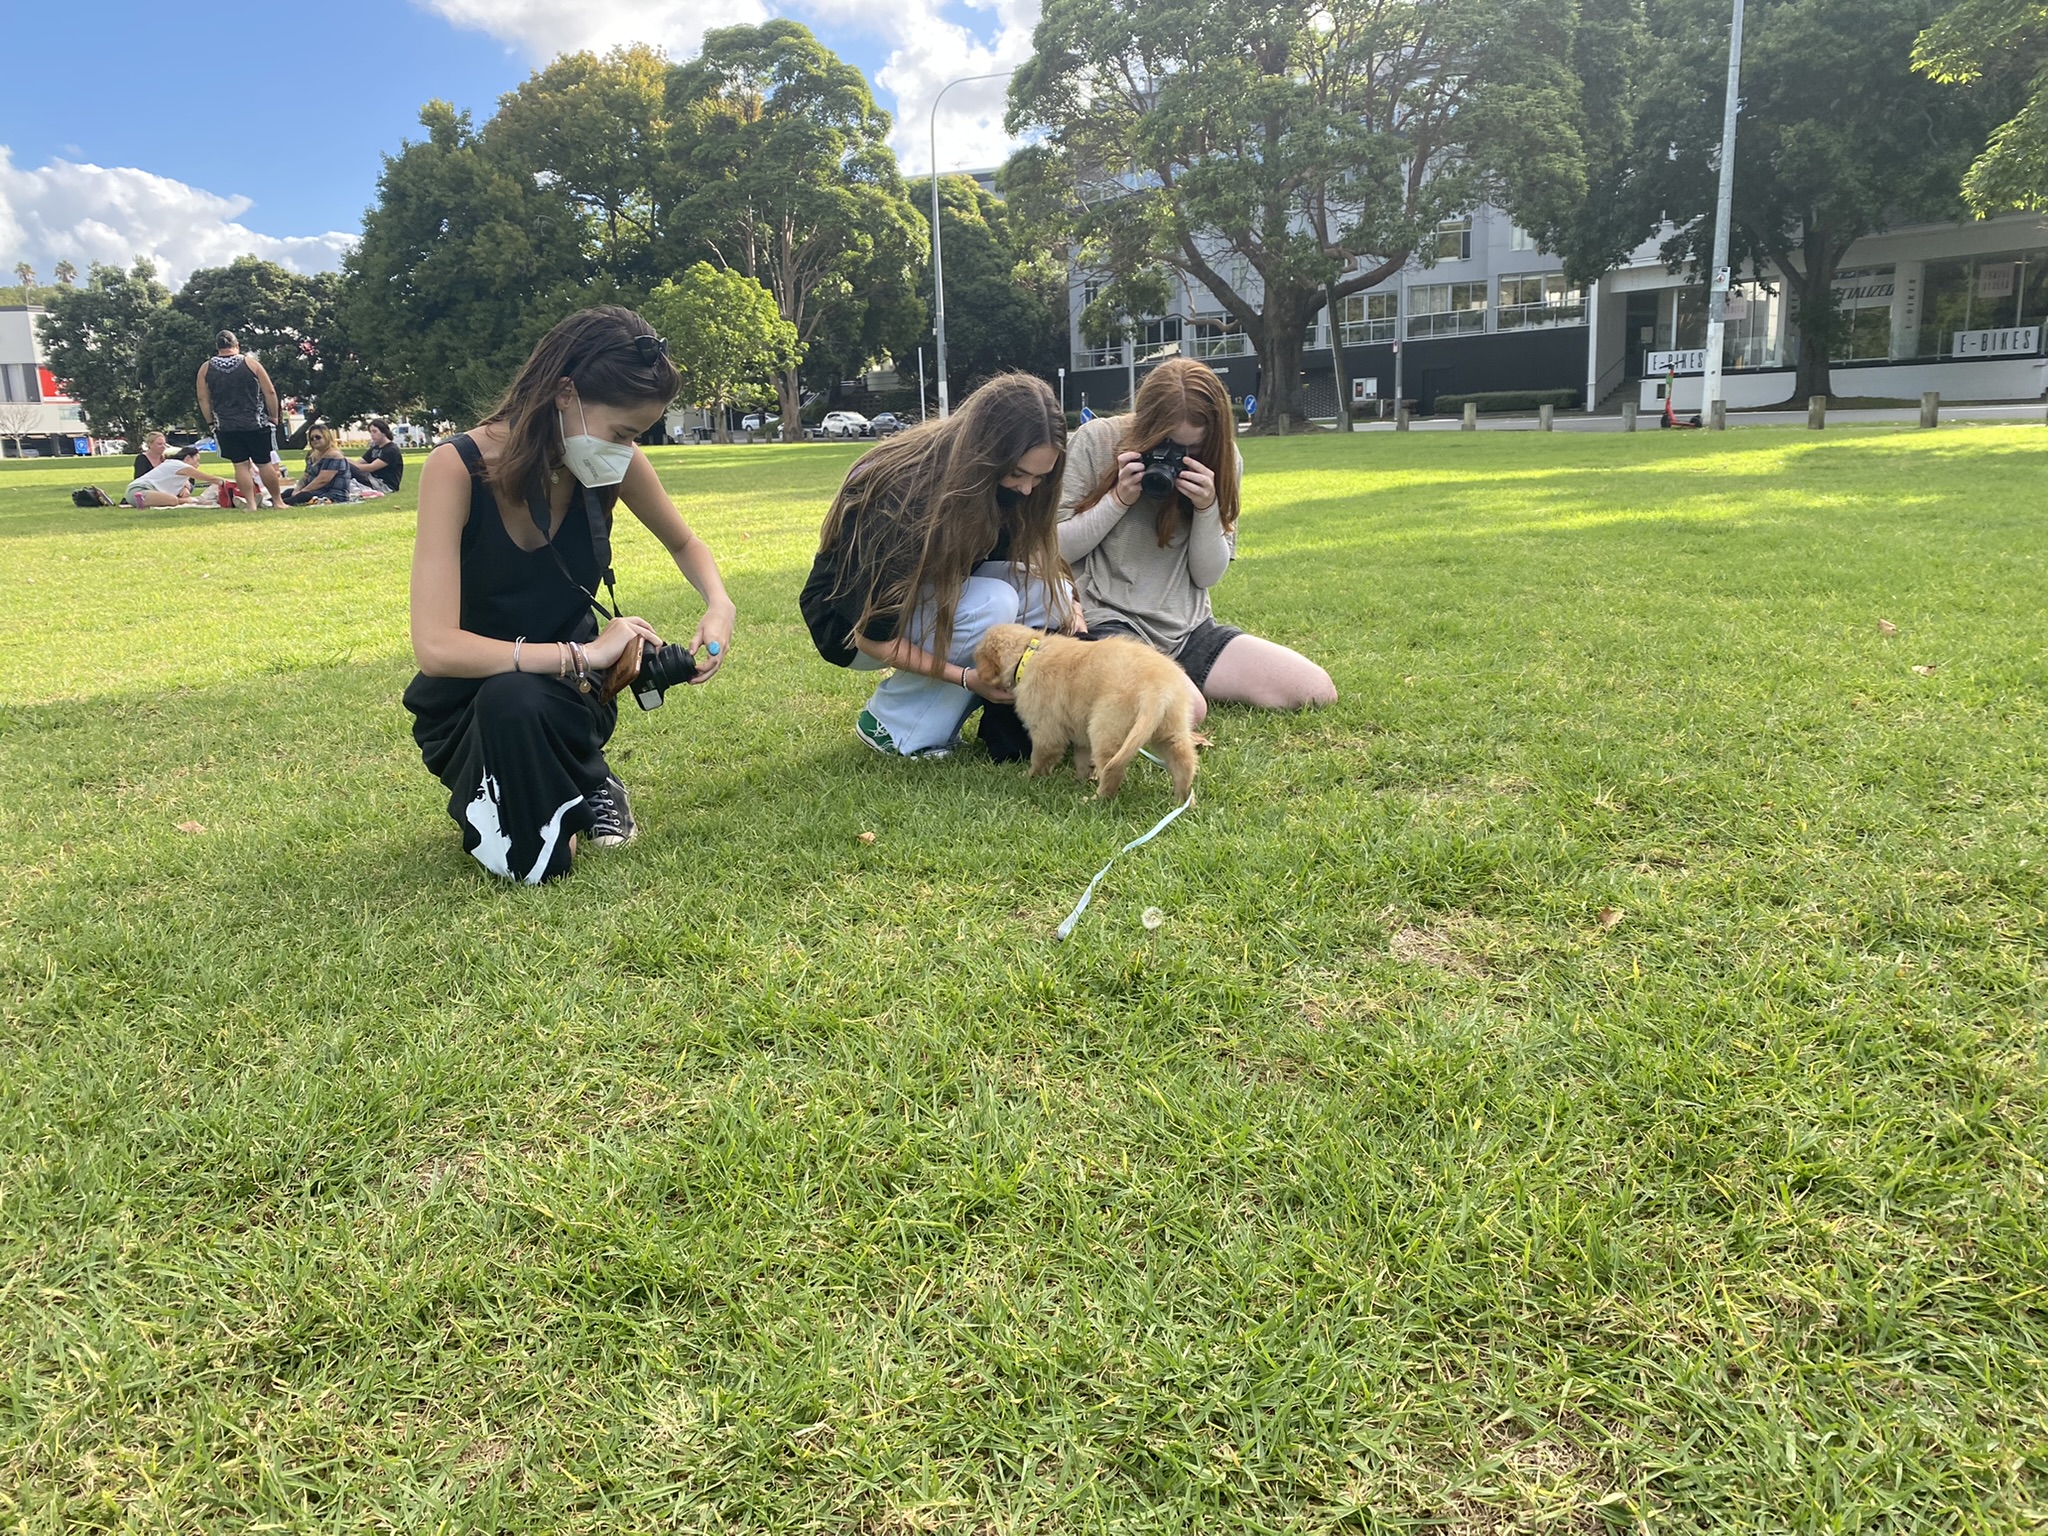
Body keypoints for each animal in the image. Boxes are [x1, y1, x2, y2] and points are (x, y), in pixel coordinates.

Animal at [974, 626, 1196, 806]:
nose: (974, 675)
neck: (1028, 653)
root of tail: (1156, 688)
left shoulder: (1045, 730)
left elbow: (1040, 757)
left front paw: (1029, 776)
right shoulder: (1080, 733)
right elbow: (1082, 759)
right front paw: (1080, 780)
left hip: (1104, 726)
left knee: (1113, 771)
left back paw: (1095, 800)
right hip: (1170, 728)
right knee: (1184, 760)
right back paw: (1183, 800)